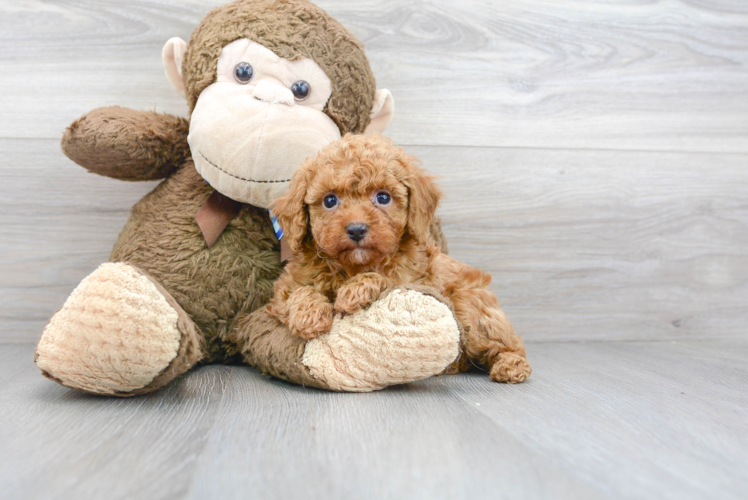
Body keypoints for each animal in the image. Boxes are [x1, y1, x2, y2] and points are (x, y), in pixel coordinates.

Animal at [268, 133, 532, 382]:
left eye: (383, 197)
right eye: (330, 200)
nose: (356, 229)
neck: (353, 266)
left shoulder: (414, 280)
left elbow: (384, 279)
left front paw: (355, 291)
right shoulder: (287, 285)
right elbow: (299, 290)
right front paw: (309, 315)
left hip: (471, 306)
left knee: (509, 344)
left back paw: (512, 366)